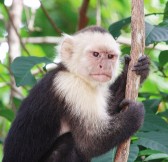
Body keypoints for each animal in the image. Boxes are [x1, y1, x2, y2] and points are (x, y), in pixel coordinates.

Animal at [2, 26, 150, 161]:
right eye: (95, 54)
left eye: (110, 56)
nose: (105, 66)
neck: (74, 74)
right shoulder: (71, 87)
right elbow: (91, 142)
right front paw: (134, 113)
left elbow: (111, 107)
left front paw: (137, 69)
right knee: (68, 142)